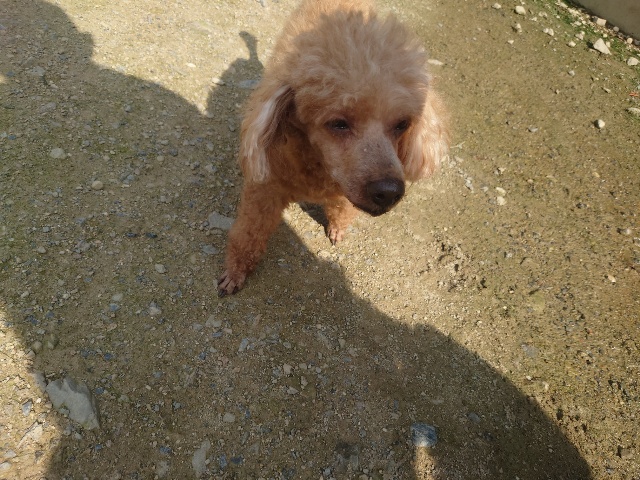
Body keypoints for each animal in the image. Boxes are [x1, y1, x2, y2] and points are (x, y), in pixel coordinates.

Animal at [218, 0, 449, 296]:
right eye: (338, 123)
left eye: (402, 124)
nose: (389, 193)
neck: (317, 168)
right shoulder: (265, 189)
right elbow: (249, 232)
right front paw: (235, 272)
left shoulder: (345, 188)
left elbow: (342, 208)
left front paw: (338, 229)